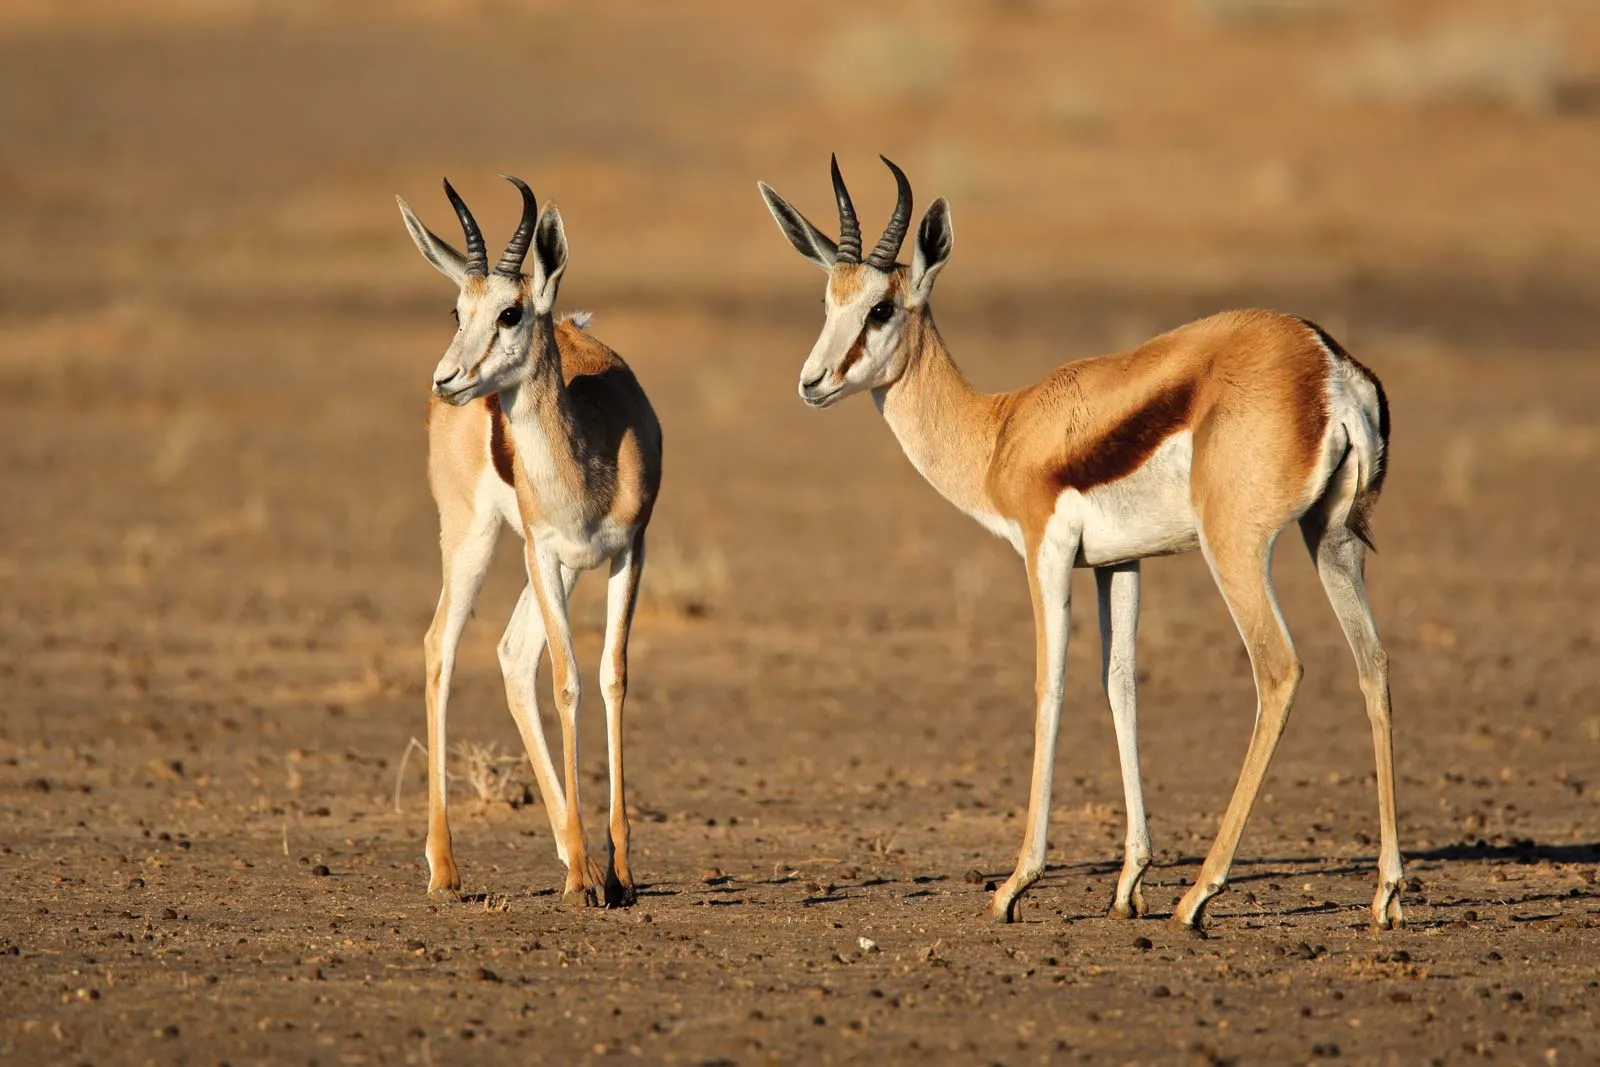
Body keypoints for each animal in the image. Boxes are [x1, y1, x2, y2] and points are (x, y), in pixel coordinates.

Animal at [398, 177, 662, 908]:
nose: (447, 379)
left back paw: (574, 852)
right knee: (442, 644)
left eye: (510, 312)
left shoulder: (630, 549)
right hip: (475, 539)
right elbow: (567, 682)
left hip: (560, 567)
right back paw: (446, 868)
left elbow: (611, 676)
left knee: (514, 654)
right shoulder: (539, 550)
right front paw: (584, 880)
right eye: (456, 308)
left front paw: (618, 872)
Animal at [761, 154, 1401, 927]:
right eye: (830, 301)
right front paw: (1129, 882)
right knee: (1373, 664)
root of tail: (1328, 365)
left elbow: (1052, 684)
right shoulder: (1118, 563)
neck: (1001, 429)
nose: (812, 382)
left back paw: (1199, 894)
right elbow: (1119, 682)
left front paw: (1016, 884)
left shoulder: (1045, 552)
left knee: (1278, 669)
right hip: (1332, 538)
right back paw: (1386, 893)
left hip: (1236, 549)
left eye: (881, 308)